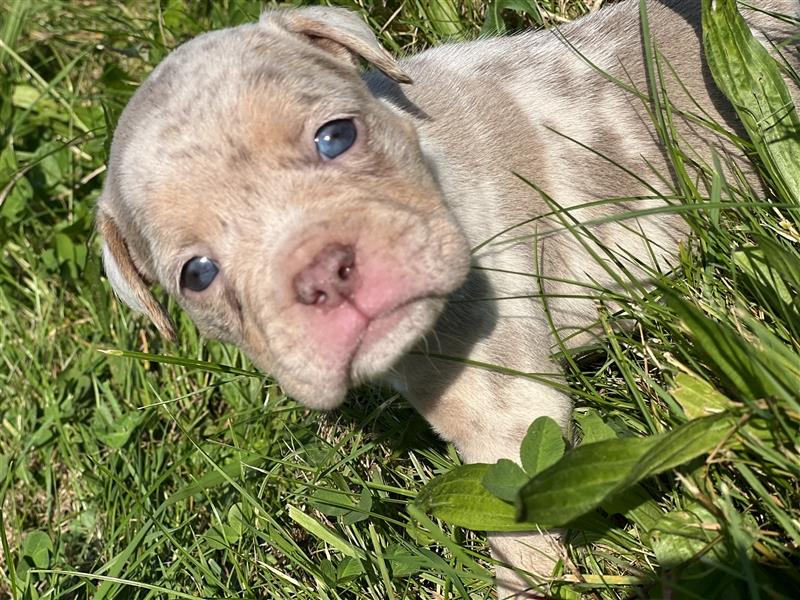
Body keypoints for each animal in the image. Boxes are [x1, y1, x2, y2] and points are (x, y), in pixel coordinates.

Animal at [95, 1, 800, 596]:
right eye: (197, 274)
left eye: (336, 136)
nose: (325, 271)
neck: (426, 155)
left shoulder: (501, 402)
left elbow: (521, 529)